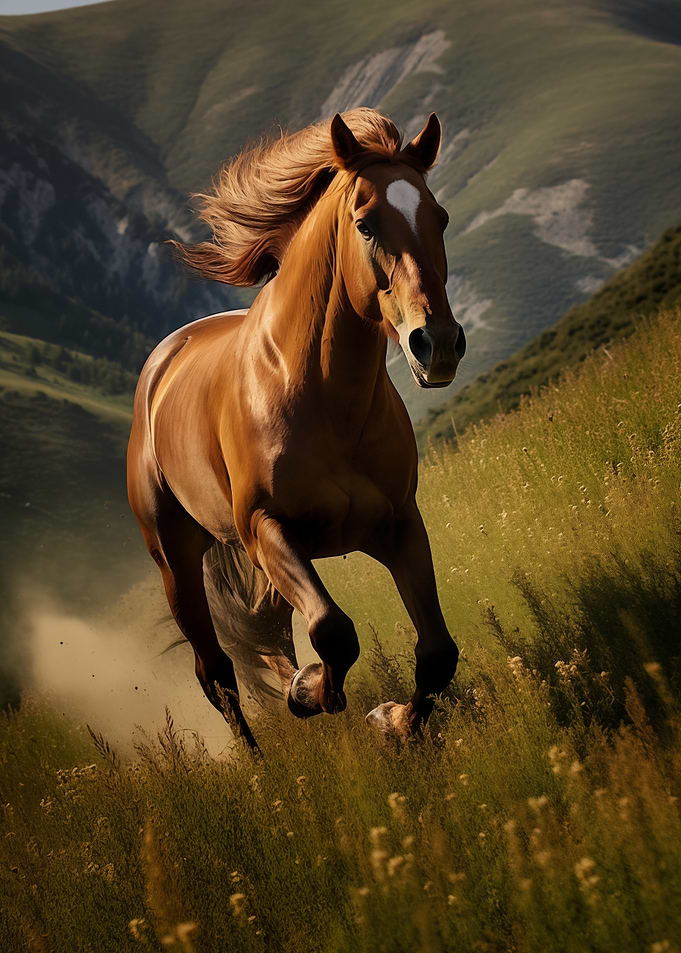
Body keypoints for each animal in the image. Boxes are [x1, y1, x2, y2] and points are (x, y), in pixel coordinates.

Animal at [127, 108, 466, 752]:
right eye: (365, 224)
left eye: (439, 217)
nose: (436, 345)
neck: (321, 399)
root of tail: (162, 361)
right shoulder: (267, 526)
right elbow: (334, 630)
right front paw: (312, 693)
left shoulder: (399, 524)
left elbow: (438, 652)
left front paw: (393, 722)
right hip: (175, 559)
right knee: (217, 672)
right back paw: (260, 763)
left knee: (270, 632)